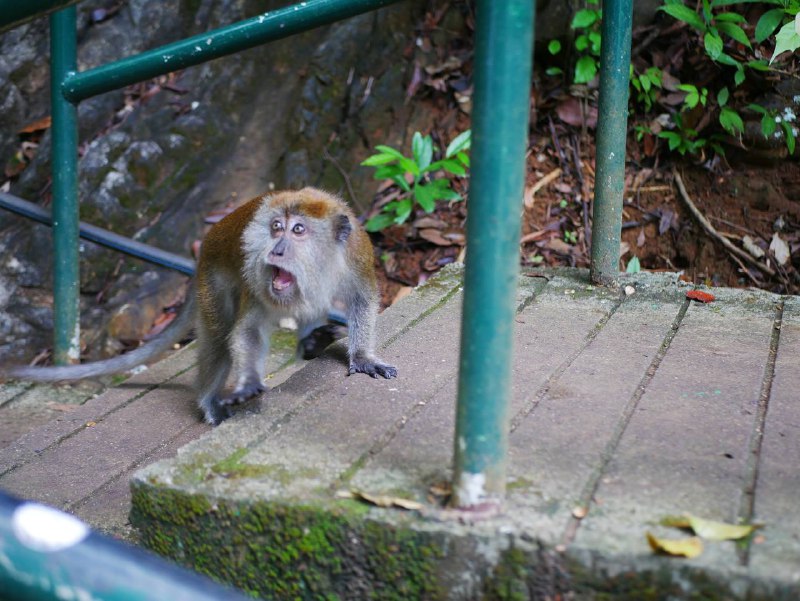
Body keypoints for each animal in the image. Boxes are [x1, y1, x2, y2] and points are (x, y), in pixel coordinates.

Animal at [0, 186, 396, 422]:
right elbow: (247, 331)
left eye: (298, 230)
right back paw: (208, 401)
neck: (320, 264)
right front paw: (247, 382)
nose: (276, 250)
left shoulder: (358, 255)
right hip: (214, 280)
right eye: (276, 227)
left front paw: (362, 357)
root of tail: (205, 246)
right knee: (220, 338)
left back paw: (312, 342)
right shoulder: (257, 279)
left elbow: (362, 300)